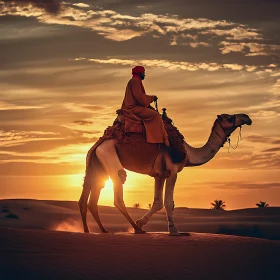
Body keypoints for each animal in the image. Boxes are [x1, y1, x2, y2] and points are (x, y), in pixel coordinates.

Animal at [78, 112, 252, 235]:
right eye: (229, 117)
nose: (247, 117)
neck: (189, 153)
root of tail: (98, 144)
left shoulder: (159, 175)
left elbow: (158, 203)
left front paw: (142, 221)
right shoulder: (172, 171)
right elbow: (169, 202)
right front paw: (174, 231)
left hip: (97, 164)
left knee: (90, 195)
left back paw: (95, 230)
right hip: (109, 156)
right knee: (118, 189)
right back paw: (136, 229)